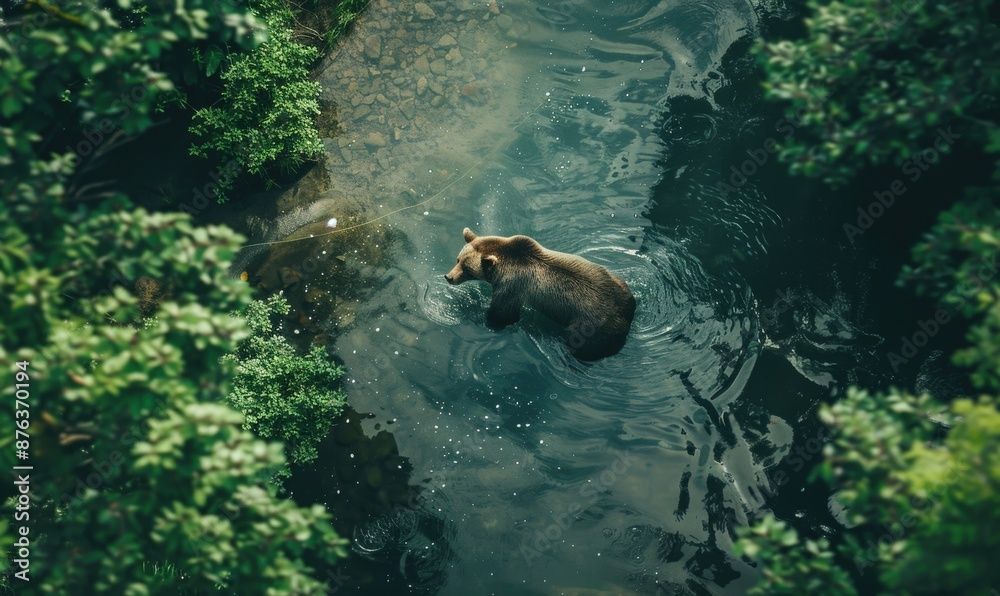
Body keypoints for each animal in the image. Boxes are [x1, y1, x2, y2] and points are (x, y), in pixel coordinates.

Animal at [444, 227, 636, 360]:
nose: (449, 277)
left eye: (467, 269)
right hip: (620, 285)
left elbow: (502, 314)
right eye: (458, 260)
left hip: (589, 327)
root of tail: (626, 316)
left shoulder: (511, 285)